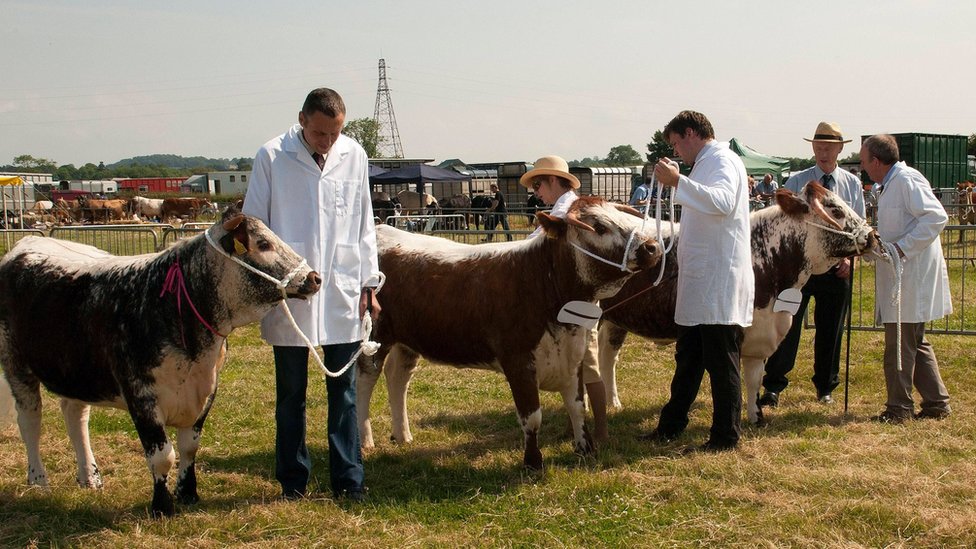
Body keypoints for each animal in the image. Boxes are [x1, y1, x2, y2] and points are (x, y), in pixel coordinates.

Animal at [0, 208, 324, 516]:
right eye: (263, 244)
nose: (314, 278)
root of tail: (28, 244)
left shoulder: (206, 390)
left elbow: (189, 448)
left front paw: (188, 493)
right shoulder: (141, 395)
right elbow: (162, 456)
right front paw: (162, 505)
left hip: (77, 371)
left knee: (75, 416)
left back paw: (89, 476)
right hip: (16, 366)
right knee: (30, 421)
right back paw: (39, 481)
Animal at [358, 195, 664, 468]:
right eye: (599, 227)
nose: (652, 247)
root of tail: (382, 229)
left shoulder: (573, 355)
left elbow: (578, 406)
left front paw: (585, 449)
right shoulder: (518, 361)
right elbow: (532, 417)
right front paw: (533, 462)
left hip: (406, 341)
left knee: (398, 377)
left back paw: (403, 435)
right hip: (375, 338)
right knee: (365, 380)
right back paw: (365, 441)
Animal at [600, 183, 880, 424]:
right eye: (836, 209)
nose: (873, 235)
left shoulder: (761, 333)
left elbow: (754, 379)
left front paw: (756, 417)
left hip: (616, 320)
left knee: (608, 356)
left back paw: (612, 402)